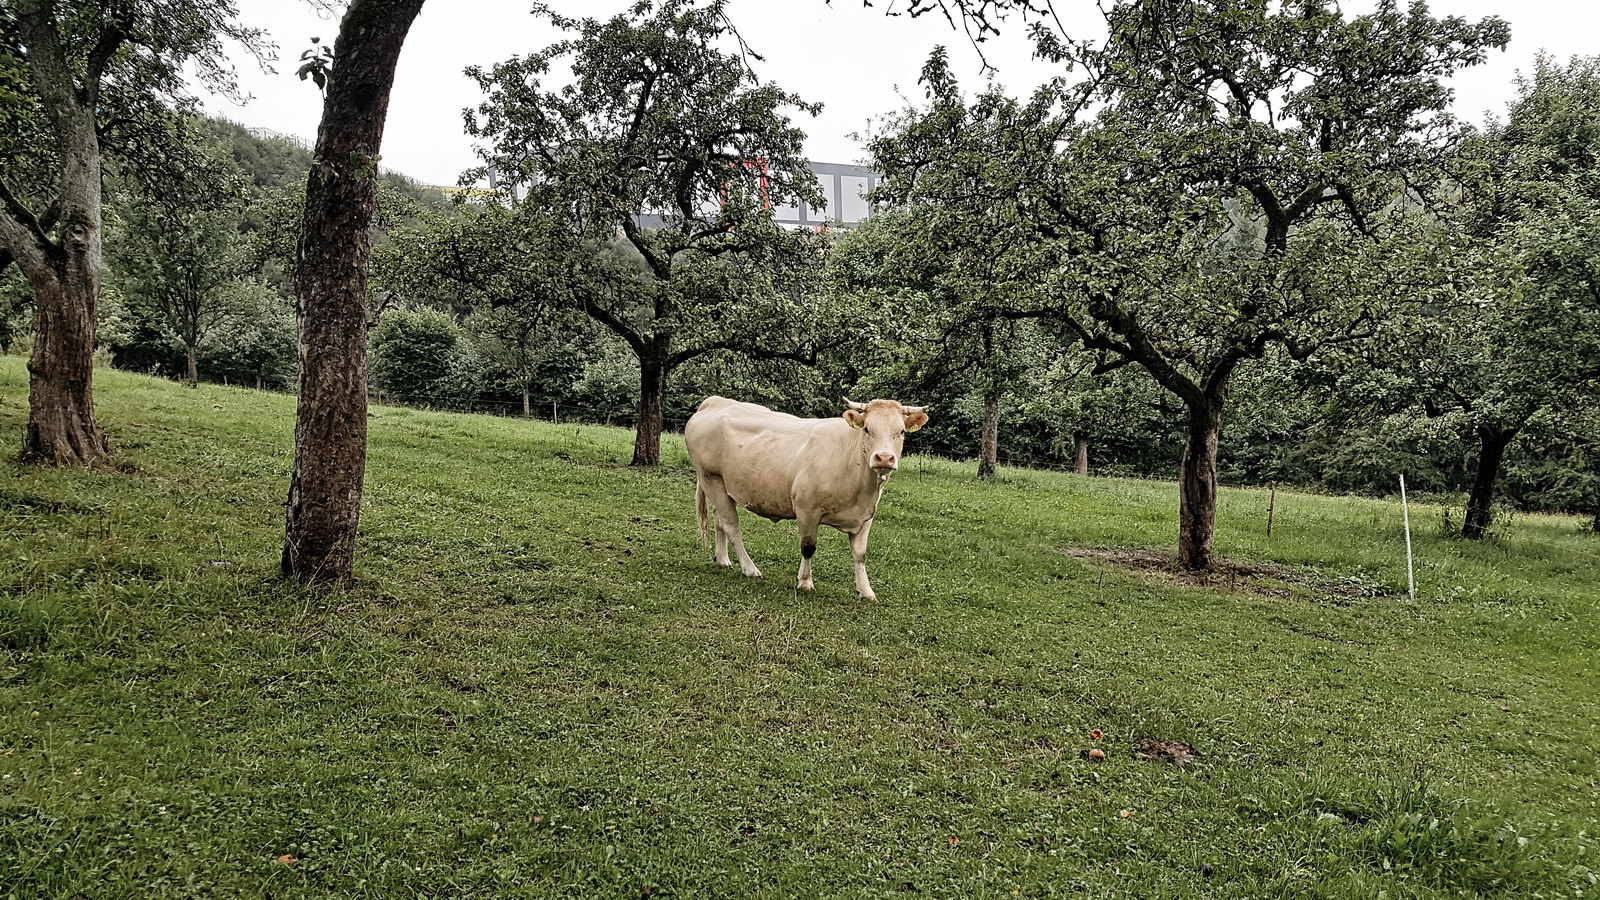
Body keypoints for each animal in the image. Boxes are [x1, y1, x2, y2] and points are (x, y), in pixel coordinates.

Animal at [684, 395, 934, 598]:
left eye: (901, 431)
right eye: (867, 429)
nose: (884, 458)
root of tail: (716, 401)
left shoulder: (866, 516)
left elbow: (860, 554)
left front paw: (866, 590)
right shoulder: (806, 509)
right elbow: (808, 547)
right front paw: (804, 582)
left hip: (721, 486)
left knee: (720, 520)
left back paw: (722, 559)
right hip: (710, 477)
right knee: (732, 526)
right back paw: (750, 569)